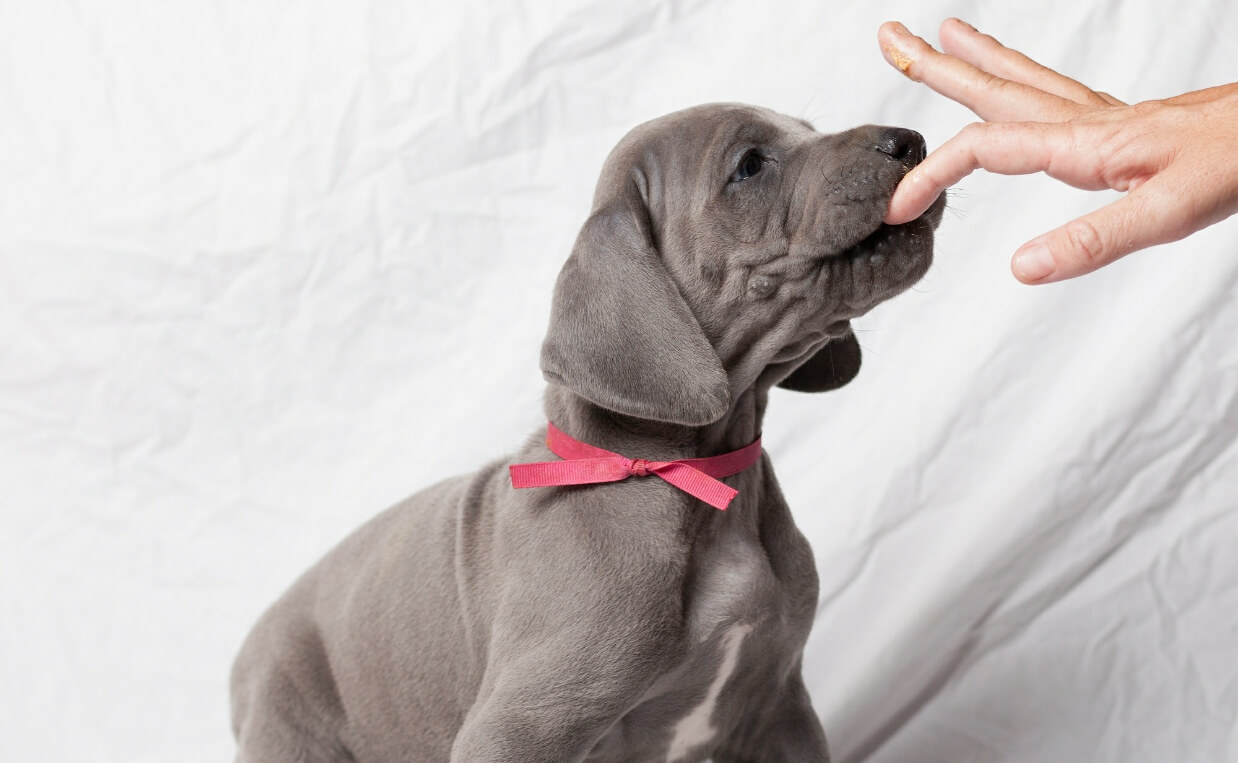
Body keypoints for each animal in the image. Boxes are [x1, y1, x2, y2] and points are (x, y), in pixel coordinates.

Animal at [232, 102, 940, 763]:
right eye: (748, 166)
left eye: (808, 130)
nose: (910, 140)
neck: (696, 478)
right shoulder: (518, 728)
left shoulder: (776, 710)